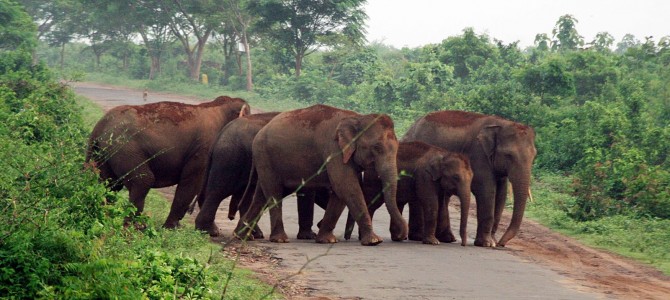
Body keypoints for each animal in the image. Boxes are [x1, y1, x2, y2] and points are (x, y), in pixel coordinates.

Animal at [85, 95, 251, 227]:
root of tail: (98, 127)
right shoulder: (203, 149)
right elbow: (193, 182)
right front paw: (171, 228)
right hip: (124, 148)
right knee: (143, 181)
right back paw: (136, 227)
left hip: (105, 153)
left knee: (109, 184)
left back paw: (105, 219)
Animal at [193, 112, 330, 239]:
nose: (319, 224)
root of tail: (220, 135)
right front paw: (309, 236)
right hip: (231, 158)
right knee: (218, 192)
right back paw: (210, 231)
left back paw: (253, 234)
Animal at [235, 104, 410, 245]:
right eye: (377, 148)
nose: (402, 235)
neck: (357, 118)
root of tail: (259, 133)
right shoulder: (333, 149)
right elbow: (345, 186)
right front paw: (374, 241)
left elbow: (340, 192)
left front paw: (327, 240)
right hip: (265, 156)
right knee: (274, 193)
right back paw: (279, 240)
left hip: (267, 161)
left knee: (262, 196)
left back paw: (241, 236)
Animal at [402, 109, 540, 246]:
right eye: (508, 155)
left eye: (534, 155)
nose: (501, 244)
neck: (501, 123)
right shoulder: (478, 154)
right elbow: (486, 191)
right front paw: (486, 243)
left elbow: (501, 194)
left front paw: (492, 241)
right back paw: (419, 237)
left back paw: (446, 238)